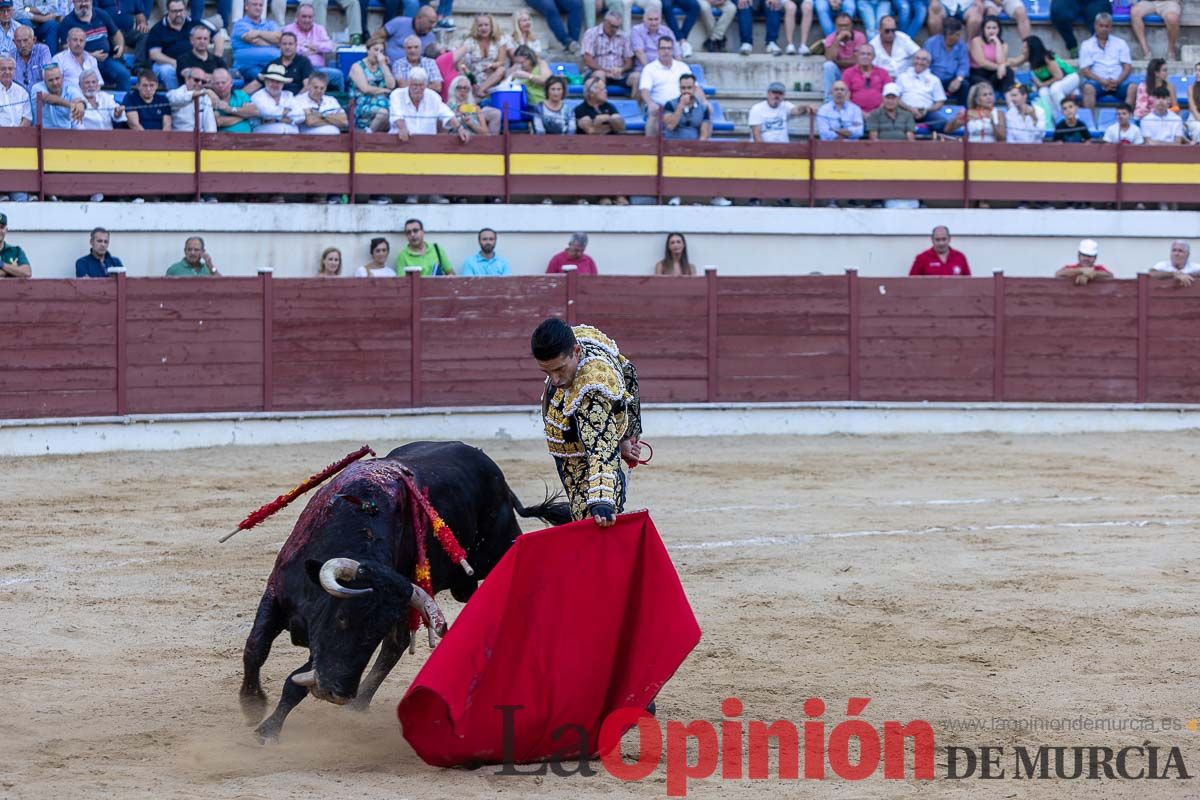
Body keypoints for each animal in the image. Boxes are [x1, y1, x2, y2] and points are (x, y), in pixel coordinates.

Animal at [241, 441, 573, 743]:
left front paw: (267, 730)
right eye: (342, 620)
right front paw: (252, 706)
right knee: (396, 645)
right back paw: (359, 704)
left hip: (494, 555)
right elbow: (255, 649)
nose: (337, 693)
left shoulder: (325, 644)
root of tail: (501, 483)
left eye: (372, 634)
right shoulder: (277, 593)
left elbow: (296, 681)